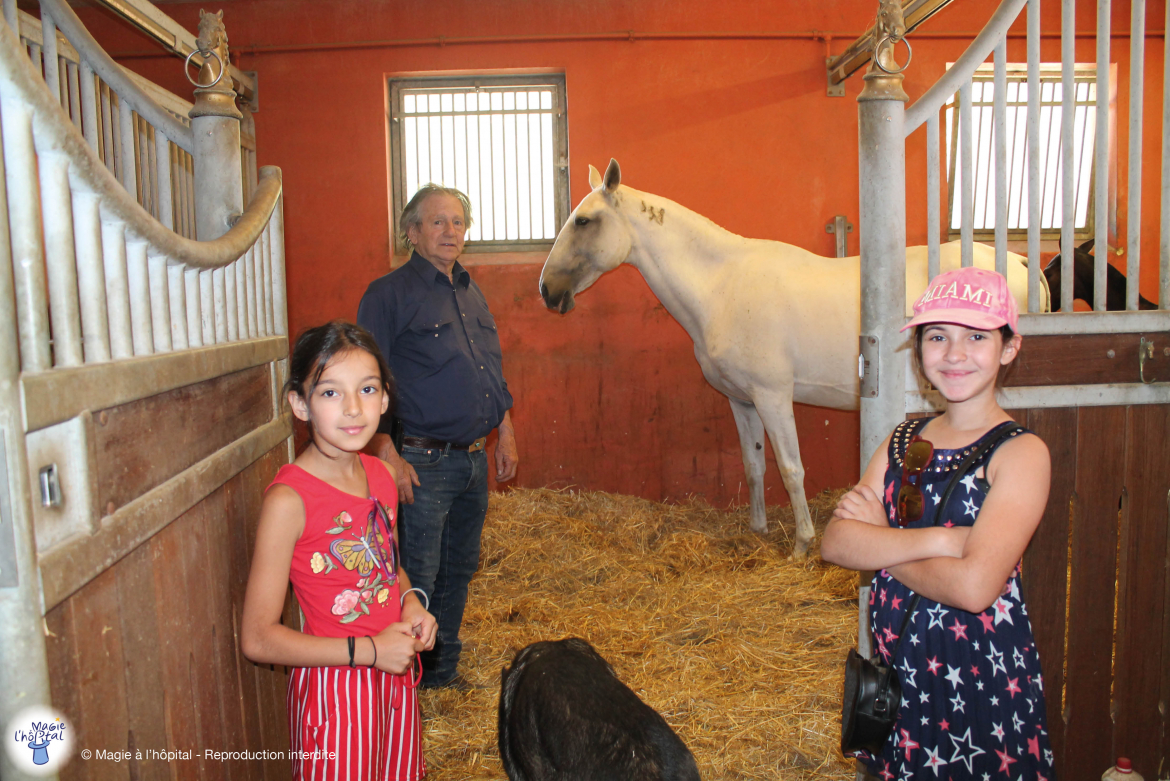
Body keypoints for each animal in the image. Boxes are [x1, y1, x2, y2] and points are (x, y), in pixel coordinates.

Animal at [538, 160, 1043, 561]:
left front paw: (801, 545)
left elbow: (790, 468)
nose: (546, 290)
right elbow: (754, 464)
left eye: (583, 221)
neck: (722, 287)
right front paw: (758, 530)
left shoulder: (773, 396)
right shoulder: (741, 400)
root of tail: (1021, 265)